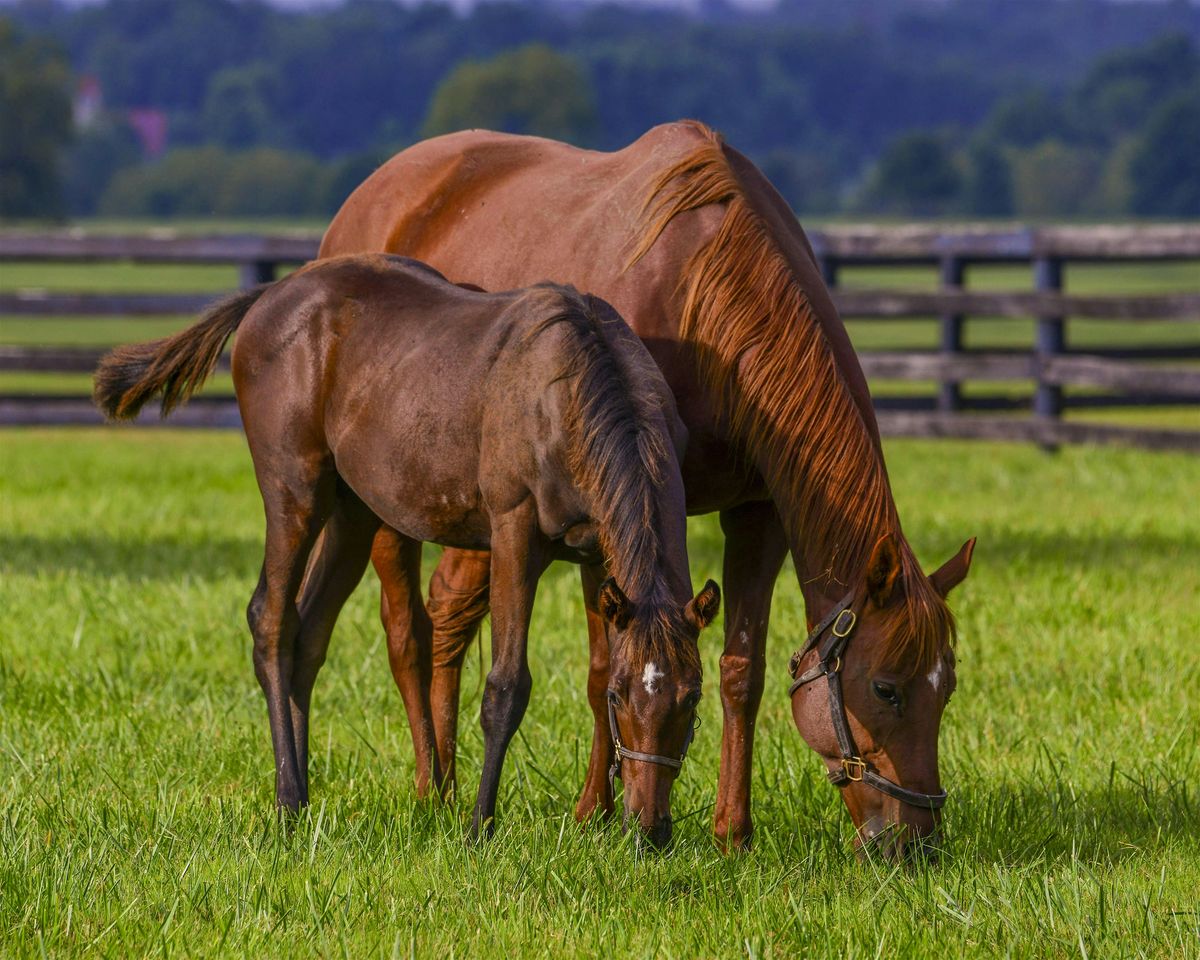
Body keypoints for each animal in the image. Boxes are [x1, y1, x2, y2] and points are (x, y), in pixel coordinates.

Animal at [93, 256, 715, 849]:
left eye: (691, 699)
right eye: (622, 699)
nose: (651, 830)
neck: (571, 389)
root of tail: (271, 295)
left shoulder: (598, 557)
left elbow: (596, 663)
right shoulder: (515, 535)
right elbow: (507, 686)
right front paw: (479, 826)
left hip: (353, 513)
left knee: (308, 632)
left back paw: (305, 790)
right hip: (295, 493)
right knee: (271, 620)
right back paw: (288, 799)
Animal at [321, 123, 974, 859]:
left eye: (947, 689)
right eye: (886, 689)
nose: (917, 842)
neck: (702, 292)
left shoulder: (758, 513)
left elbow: (739, 671)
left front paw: (732, 832)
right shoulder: (615, 517)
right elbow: (605, 666)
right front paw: (595, 812)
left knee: (452, 613)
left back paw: (452, 781)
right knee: (409, 628)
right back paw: (432, 785)